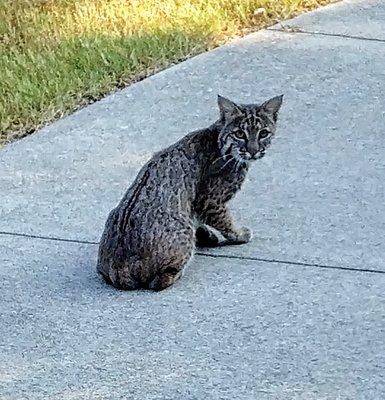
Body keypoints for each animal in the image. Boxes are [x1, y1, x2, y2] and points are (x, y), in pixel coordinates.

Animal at [96, 95, 282, 292]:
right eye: (239, 134)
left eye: (263, 133)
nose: (253, 151)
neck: (219, 139)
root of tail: (119, 266)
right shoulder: (211, 201)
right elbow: (225, 220)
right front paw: (239, 234)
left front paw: (205, 234)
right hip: (182, 229)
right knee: (158, 283)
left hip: (113, 213)